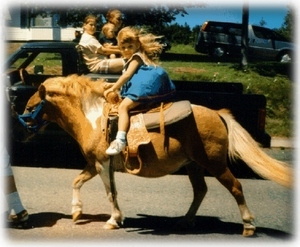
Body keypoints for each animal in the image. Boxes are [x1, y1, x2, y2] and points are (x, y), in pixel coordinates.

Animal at [19, 74, 292, 236]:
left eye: (31, 107)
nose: (20, 126)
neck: (94, 118)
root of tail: (217, 113)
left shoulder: (103, 164)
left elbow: (110, 193)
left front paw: (113, 220)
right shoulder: (95, 163)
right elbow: (77, 181)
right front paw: (77, 212)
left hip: (214, 163)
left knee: (235, 187)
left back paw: (248, 225)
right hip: (193, 165)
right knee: (200, 190)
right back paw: (186, 221)